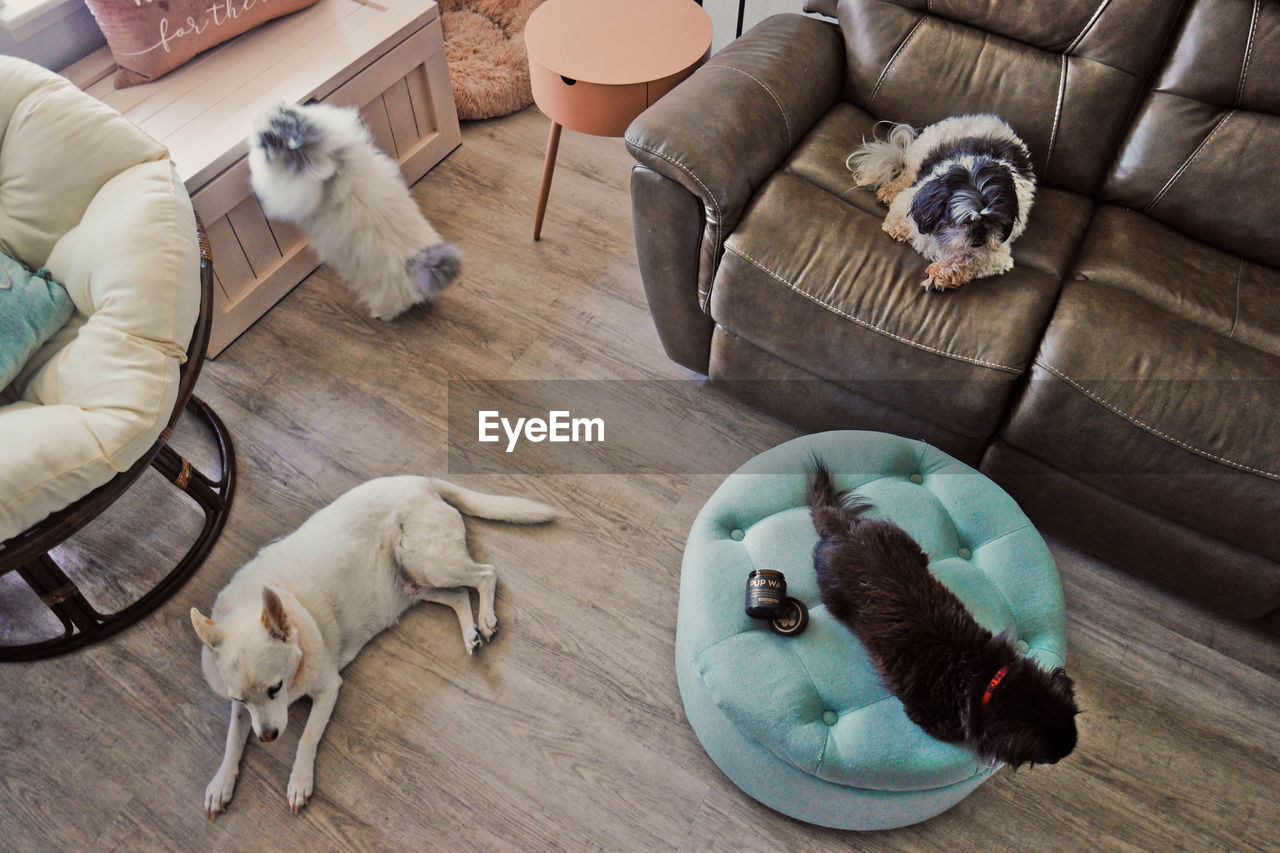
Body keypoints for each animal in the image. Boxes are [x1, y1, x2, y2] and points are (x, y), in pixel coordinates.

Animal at [189, 473, 555, 814]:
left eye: (275, 688)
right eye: (240, 698)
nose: (267, 737)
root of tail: (422, 481)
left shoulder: (329, 688)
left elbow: (307, 737)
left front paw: (299, 781)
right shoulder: (243, 709)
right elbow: (232, 737)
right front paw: (221, 782)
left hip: (429, 564)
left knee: (486, 575)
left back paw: (488, 618)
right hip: (419, 583)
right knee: (461, 596)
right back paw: (470, 635)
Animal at [808, 458, 1080, 763]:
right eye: (1052, 758)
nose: (1067, 752)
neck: (987, 679)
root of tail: (845, 532)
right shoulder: (931, 718)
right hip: (835, 598)